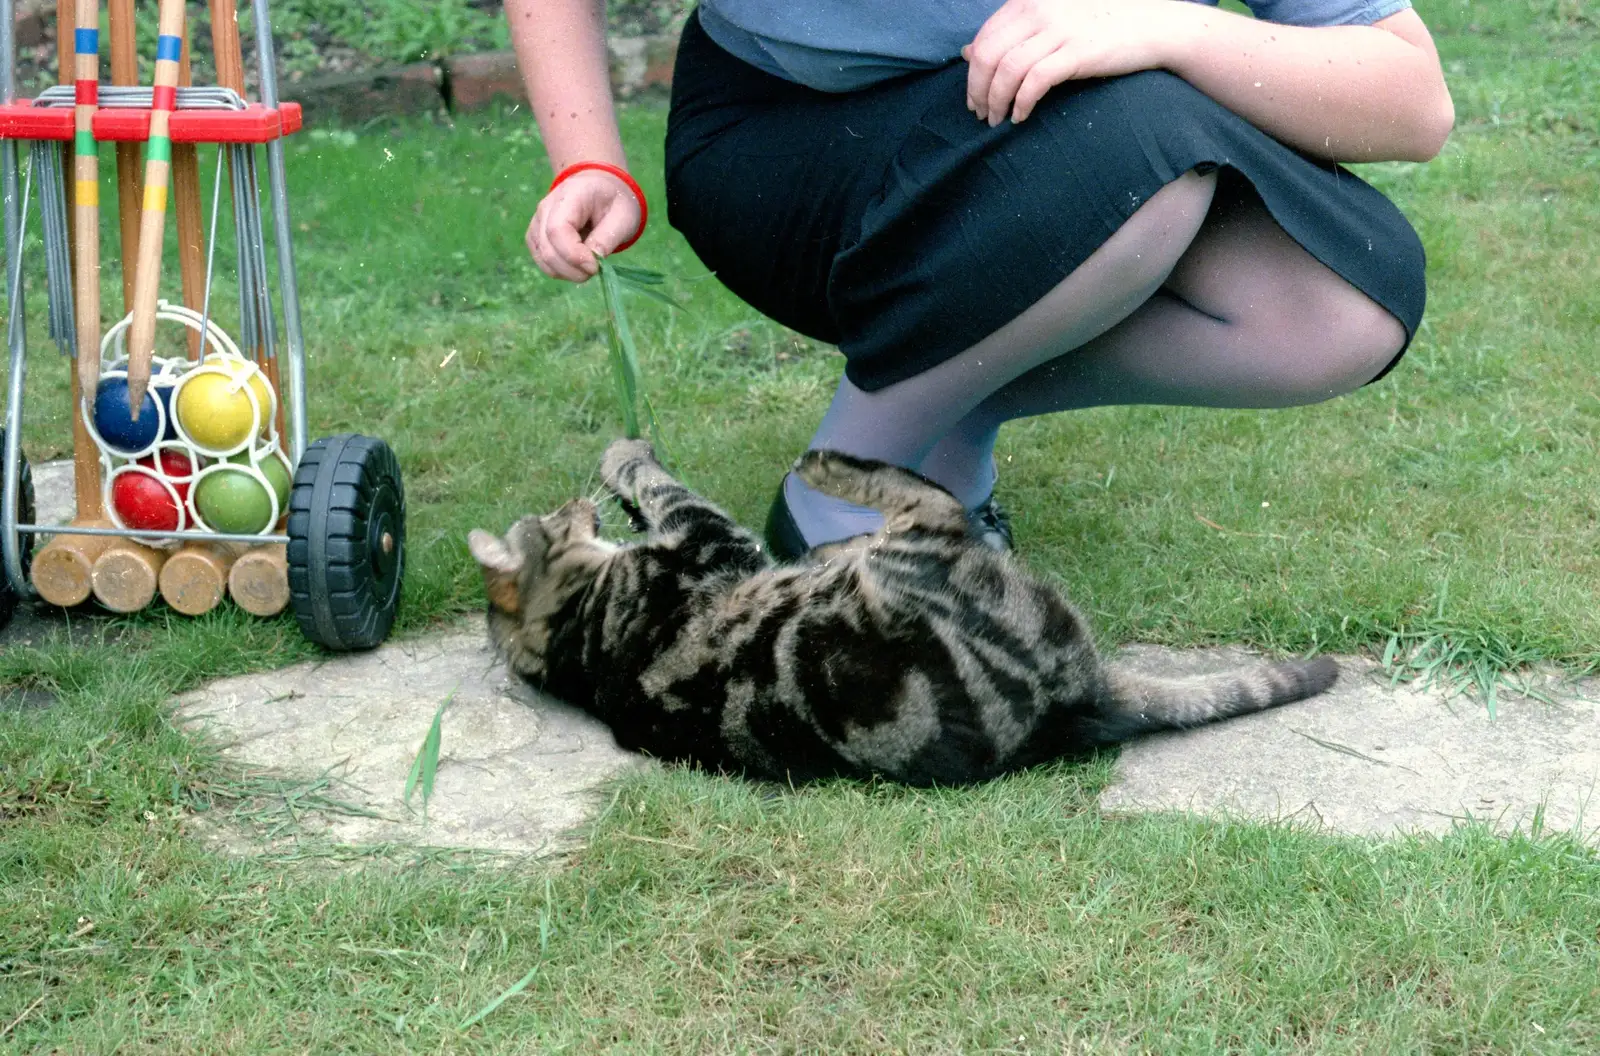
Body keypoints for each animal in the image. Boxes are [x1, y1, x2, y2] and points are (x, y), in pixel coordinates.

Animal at [470, 438, 1337, 784]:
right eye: (555, 517)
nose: (578, 504)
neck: (575, 636)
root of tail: (1077, 703)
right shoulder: (707, 539)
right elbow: (661, 484)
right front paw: (626, 457)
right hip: (917, 552)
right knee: (929, 497)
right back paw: (828, 474)